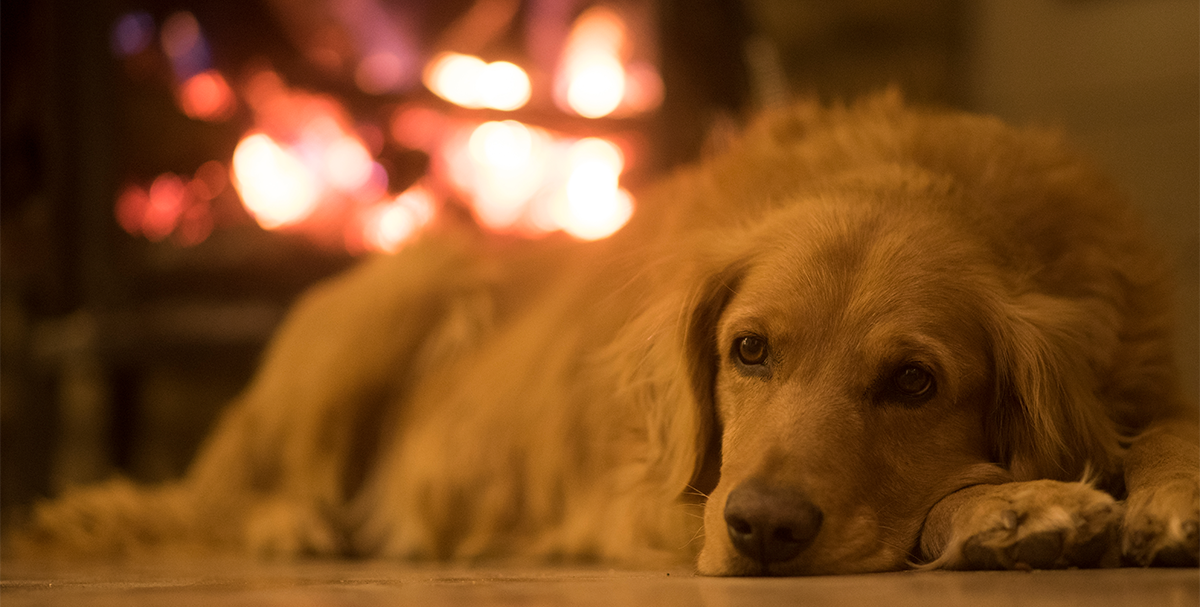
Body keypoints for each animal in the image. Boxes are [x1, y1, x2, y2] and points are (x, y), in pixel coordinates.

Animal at [11, 93, 1200, 573]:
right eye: (748, 349)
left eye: (914, 382)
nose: (764, 529)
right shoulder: (653, 494)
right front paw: (1016, 505)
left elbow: (1167, 426)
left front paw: (1159, 493)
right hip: (393, 304)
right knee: (257, 491)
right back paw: (299, 525)